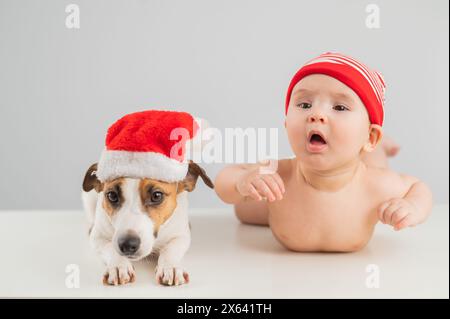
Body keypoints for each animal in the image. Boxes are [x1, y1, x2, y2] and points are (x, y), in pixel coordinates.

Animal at [82, 161, 213, 286]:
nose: (127, 244)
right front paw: (118, 266)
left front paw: (170, 267)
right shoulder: (98, 237)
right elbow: (110, 247)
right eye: (112, 195)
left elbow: (170, 249)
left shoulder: (181, 235)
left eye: (157, 195)